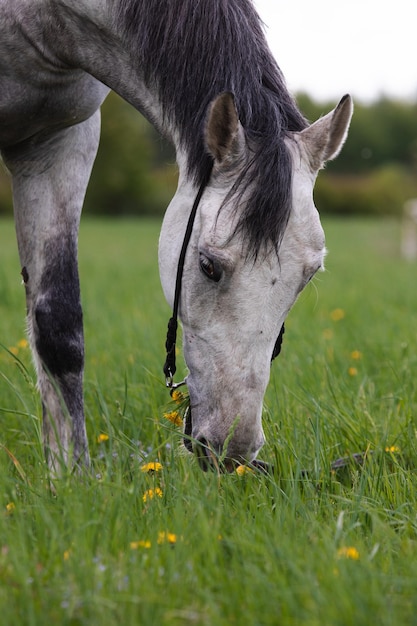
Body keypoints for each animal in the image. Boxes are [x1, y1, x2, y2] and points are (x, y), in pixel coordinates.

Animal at [0, 0, 352, 468]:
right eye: (207, 265)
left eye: (309, 276)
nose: (232, 446)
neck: (47, 21)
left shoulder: (59, 142)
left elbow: (58, 326)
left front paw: (68, 475)